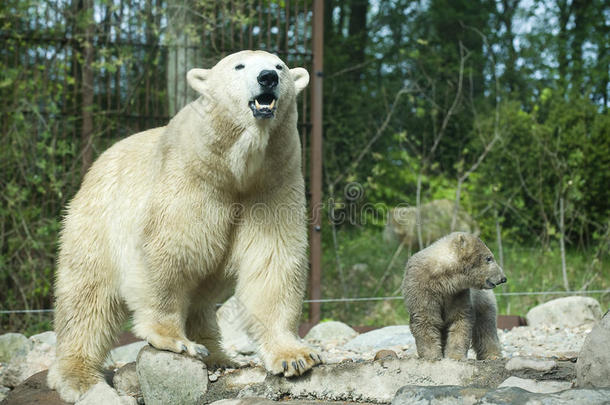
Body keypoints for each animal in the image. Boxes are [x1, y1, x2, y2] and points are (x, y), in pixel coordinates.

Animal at [47, 51, 318, 400]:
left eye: (280, 66)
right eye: (239, 66)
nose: (267, 77)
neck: (235, 168)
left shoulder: (273, 184)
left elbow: (272, 260)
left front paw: (294, 357)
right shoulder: (189, 177)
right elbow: (168, 250)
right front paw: (175, 340)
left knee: (201, 296)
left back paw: (220, 355)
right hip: (95, 220)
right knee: (87, 296)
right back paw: (77, 375)